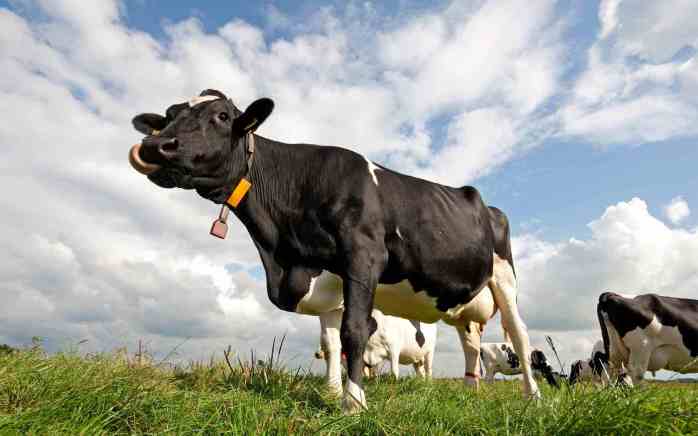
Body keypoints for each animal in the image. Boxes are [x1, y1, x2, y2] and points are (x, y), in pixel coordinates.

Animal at [128, 89, 540, 412]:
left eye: (223, 116)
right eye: (168, 115)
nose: (154, 147)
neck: (283, 254)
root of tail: (483, 202)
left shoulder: (363, 257)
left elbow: (353, 332)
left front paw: (353, 402)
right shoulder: (328, 282)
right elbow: (330, 344)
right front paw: (331, 391)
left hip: (505, 278)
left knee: (520, 334)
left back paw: (532, 396)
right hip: (465, 305)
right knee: (471, 343)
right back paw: (471, 392)